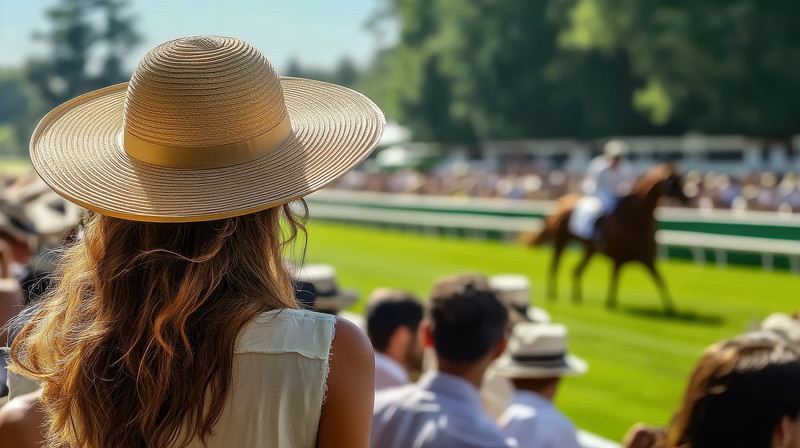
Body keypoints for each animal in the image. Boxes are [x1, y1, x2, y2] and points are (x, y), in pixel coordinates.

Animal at [528, 163, 692, 314]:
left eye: (682, 179)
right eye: (673, 181)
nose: (688, 199)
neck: (635, 219)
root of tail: (560, 205)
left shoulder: (648, 259)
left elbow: (660, 280)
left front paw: (671, 308)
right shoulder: (618, 258)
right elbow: (615, 280)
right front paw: (610, 304)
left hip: (589, 250)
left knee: (576, 270)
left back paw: (577, 297)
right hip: (560, 242)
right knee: (554, 266)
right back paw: (552, 294)